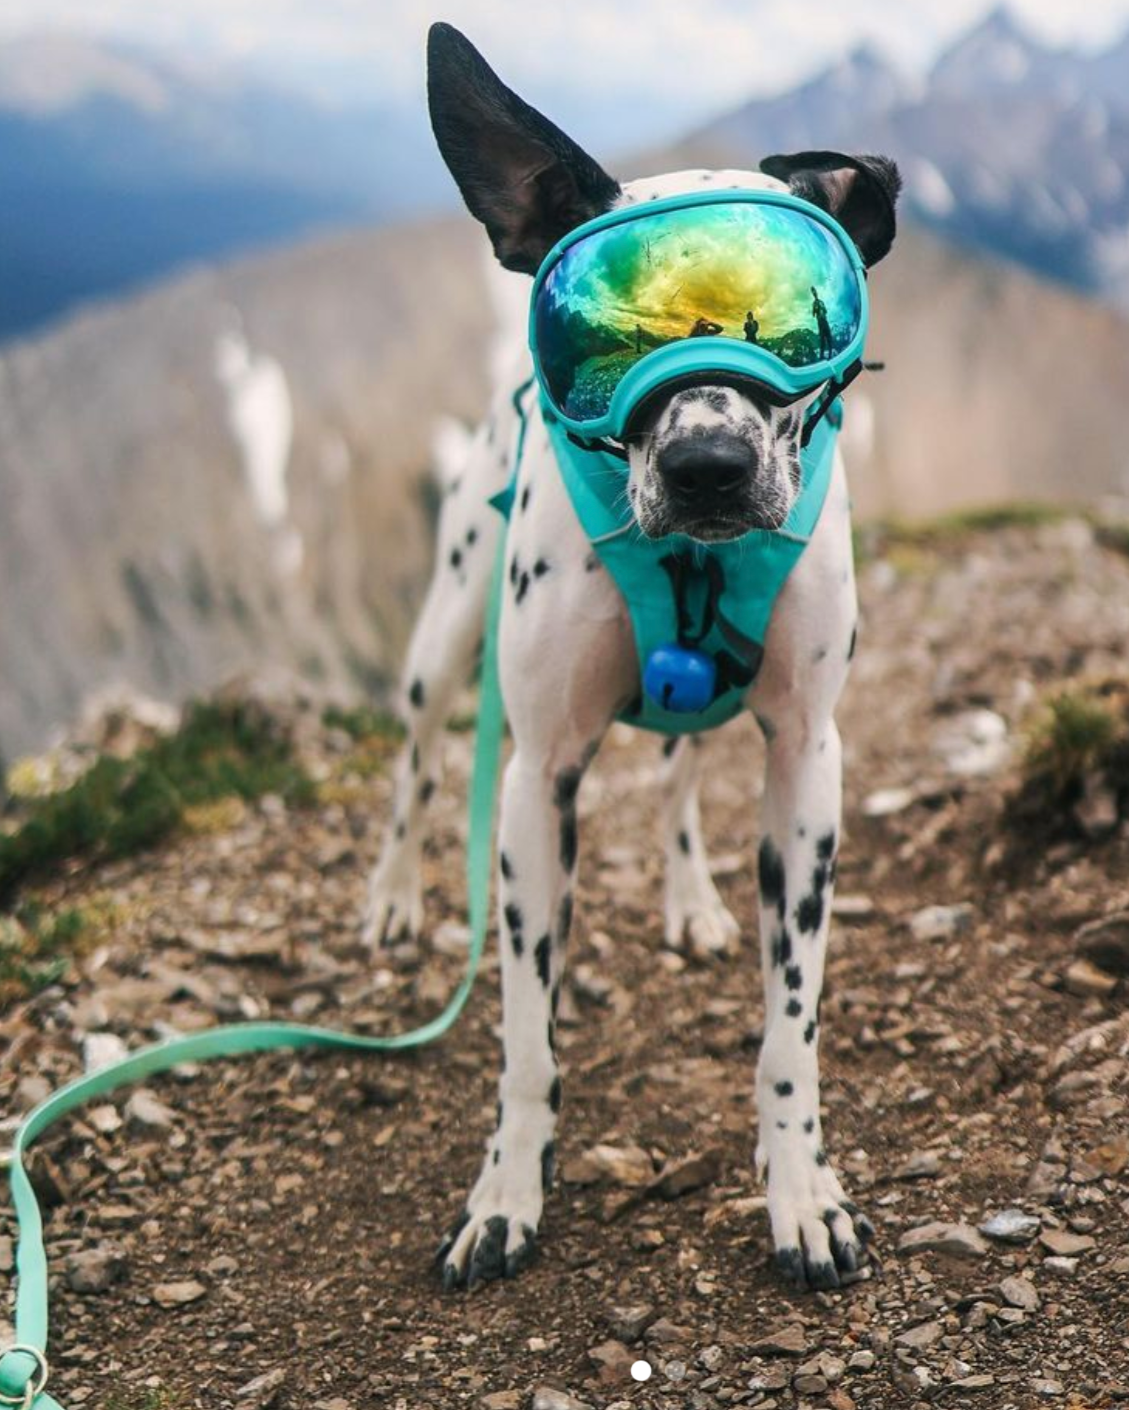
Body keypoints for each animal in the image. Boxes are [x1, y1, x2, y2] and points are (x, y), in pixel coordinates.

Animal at [360, 22, 896, 1291]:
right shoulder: (533, 785)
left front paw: (801, 1191)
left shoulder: (807, 765)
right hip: (441, 643)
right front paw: (506, 1194)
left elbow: (788, 1032)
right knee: (414, 762)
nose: (707, 465)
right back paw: (394, 897)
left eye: (790, 321)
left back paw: (689, 896)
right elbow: (524, 1041)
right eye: (609, 341)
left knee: (680, 772)